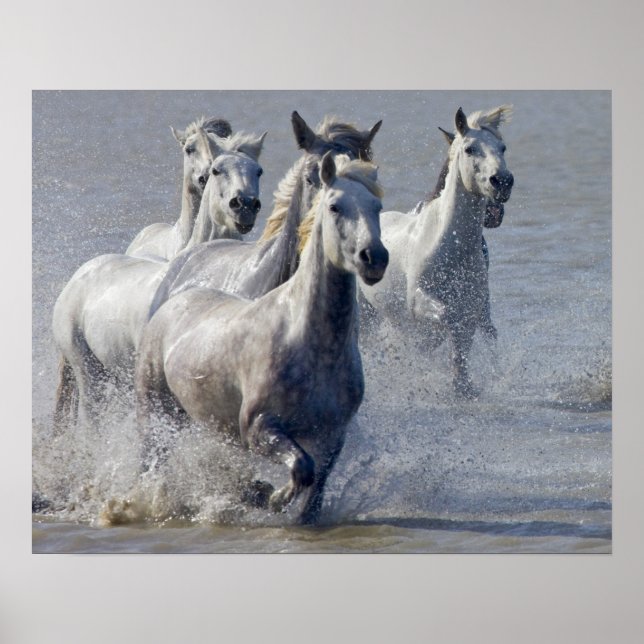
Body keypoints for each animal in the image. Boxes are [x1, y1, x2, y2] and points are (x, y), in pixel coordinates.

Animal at [134, 153, 389, 525]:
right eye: (335, 206)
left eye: (377, 206)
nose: (374, 258)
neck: (313, 346)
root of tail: (173, 299)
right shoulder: (258, 427)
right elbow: (302, 467)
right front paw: (272, 497)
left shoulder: (332, 435)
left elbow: (315, 486)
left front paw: (270, 498)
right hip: (155, 411)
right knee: (149, 461)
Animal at [359, 105, 514, 398]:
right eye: (470, 149)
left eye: (503, 147)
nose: (502, 182)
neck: (450, 247)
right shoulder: (419, 299)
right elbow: (447, 319)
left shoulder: (475, 305)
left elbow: (471, 334)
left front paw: (463, 384)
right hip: (365, 314)